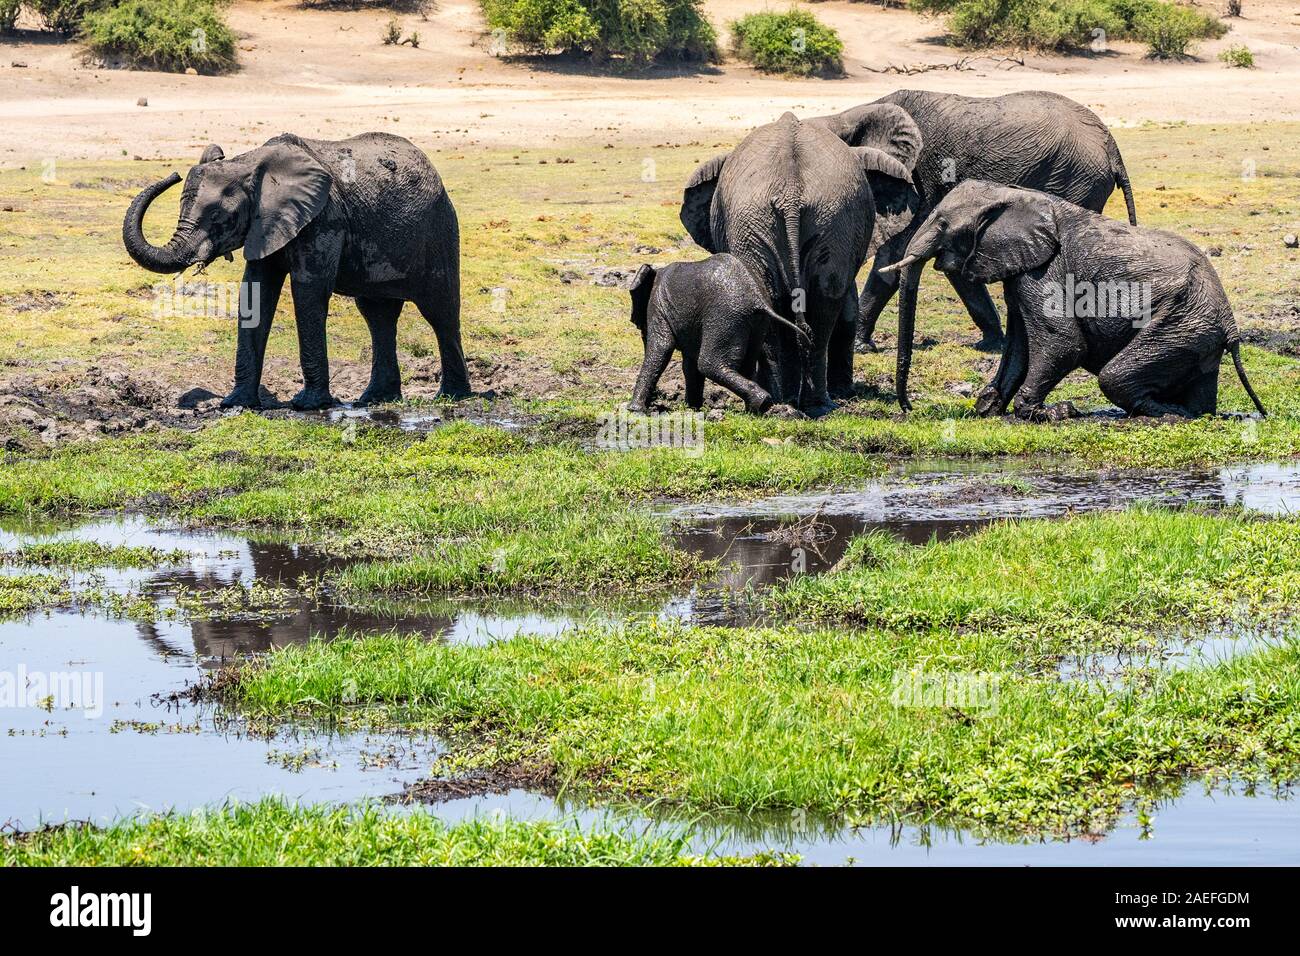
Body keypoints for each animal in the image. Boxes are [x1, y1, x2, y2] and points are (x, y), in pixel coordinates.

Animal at [122, 130, 473, 408]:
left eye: (220, 217)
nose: (174, 174)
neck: (252, 164)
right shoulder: (265, 224)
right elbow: (256, 292)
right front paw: (236, 403)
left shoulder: (324, 218)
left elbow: (308, 292)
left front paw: (308, 405)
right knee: (378, 316)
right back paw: (375, 399)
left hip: (439, 229)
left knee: (440, 311)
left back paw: (451, 397)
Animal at [624, 254, 806, 416]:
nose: (655, 398)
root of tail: (757, 298)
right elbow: (689, 365)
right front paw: (692, 408)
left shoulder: (657, 306)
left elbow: (662, 347)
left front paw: (634, 410)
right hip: (756, 322)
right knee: (746, 364)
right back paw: (754, 410)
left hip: (724, 316)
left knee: (709, 364)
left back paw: (761, 403)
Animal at [681, 108, 925, 416]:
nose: (908, 408)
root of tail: (790, 193)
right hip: (795, 221)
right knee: (814, 308)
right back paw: (801, 403)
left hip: (818, 220)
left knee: (801, 306)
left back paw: (795, 403)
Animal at [811, 87, 1138, 405]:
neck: (854, 114)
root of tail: (1112, 146)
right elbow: (956, 268)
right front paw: (992, 342)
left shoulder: (918, 177)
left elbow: (895, 254)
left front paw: (862, 345)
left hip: (1076, 179)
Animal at [878, 180, 1263, 421]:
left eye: (942, 223)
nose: (909, 408)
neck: (1011, 194)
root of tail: (1231, 324)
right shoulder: (1021, 269)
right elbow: (1020, 344)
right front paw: (986, 409)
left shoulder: (1045, 271)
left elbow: (1062, 342)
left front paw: (1043, 414)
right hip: (1194, 330)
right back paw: (1189, 412)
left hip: (1181, 321)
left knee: (1114, 377)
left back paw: (1168, 413)